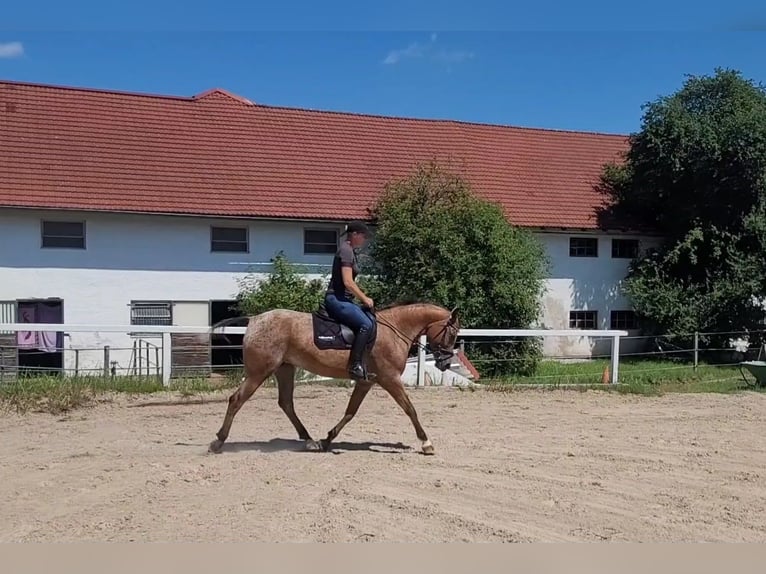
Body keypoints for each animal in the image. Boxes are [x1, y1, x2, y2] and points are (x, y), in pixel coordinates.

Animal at [204, 302, 464, 460]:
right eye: (452, 333)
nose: (445, 364)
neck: (394, 331)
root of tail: (255, 319)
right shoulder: (389, 379)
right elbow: (410, 409)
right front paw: (427, 443)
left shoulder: (366, 381)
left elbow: (350, 411)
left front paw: (327, 439)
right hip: (259, 372)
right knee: (237, 400)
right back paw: (217, 442)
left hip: (284, 370)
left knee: (286, 403)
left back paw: (309, 440)